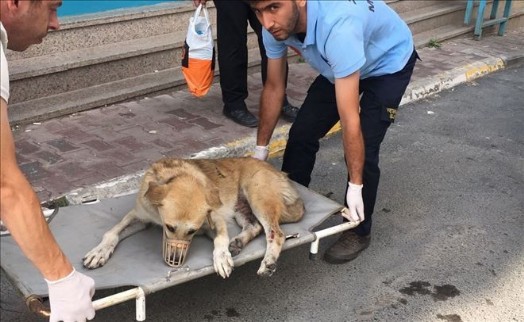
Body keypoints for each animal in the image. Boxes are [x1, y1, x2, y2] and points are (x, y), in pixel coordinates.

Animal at [81, 157, 302, 278]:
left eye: (192, 231)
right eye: (169, 227)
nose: (173, 260)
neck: (181, 177)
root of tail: (281, 173)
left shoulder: (216, 218)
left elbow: (220, 239)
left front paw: (221, 258)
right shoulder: (139, 215)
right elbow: (112, 232)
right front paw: (99, 252)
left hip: (257, 196)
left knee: (276, 233)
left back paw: (268, 262)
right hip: (242, 208)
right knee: (255, 226)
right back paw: (238, 242)